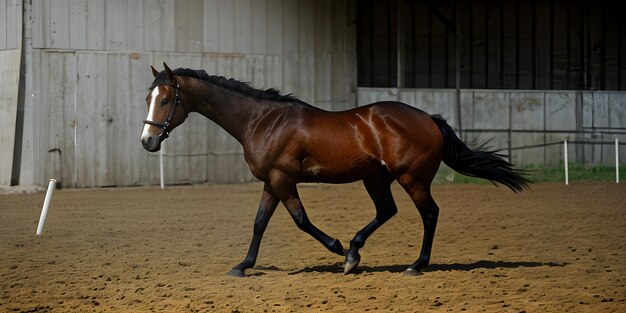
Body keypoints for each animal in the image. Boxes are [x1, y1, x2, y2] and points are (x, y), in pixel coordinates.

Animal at [140, 62, 528, 276]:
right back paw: (360, 248)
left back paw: (414, 265)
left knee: (429, 213)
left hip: (412, 178)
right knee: (387, 211)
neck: (262, 121)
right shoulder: (271, 181)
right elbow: (259, 223)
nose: (147, 141)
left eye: (166, 99)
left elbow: (301, 220)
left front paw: (340, 251)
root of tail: (428, 118)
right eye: (148, 98)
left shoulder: (284, 179)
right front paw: (242, 266)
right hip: (376, 178)